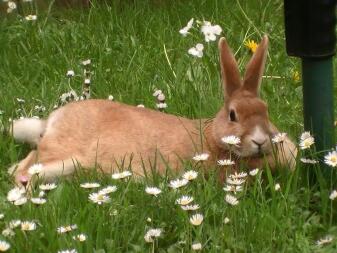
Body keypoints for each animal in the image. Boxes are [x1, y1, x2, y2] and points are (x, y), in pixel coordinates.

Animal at [9, 35, 296, 186]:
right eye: (233, 115)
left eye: (265, 110)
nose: (260, 141)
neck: (214, 140)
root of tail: (52, 121)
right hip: (63, 156)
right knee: (22, 168)